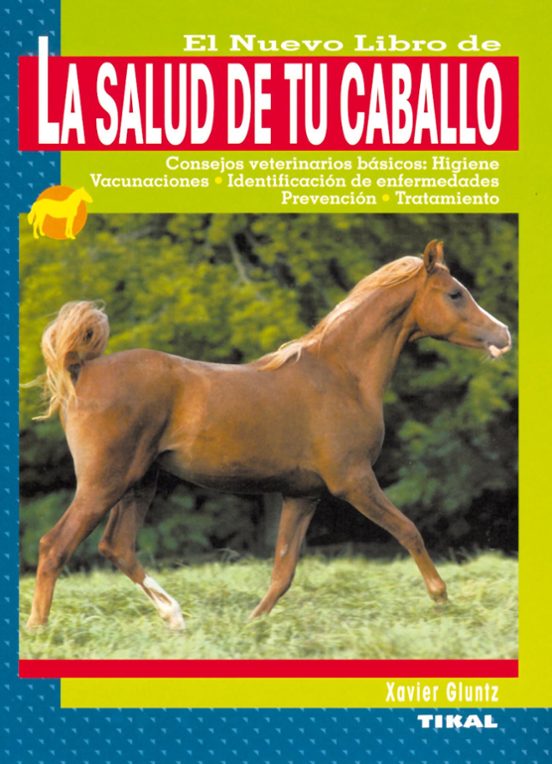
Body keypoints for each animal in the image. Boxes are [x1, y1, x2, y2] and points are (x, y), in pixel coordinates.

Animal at [25, 240, 512, 631]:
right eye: (455, 293)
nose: (504, 334)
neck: (342, 375)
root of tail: (80, 369)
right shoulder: (354, 481)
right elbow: (409, 530)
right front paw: (441, 598)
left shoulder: (303, 494)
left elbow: (283, 571)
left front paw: (250, 625)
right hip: (104, 483)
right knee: (54, 546)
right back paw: (40, 630)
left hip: (140, 482)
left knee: (117, 546)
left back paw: (175, 618)